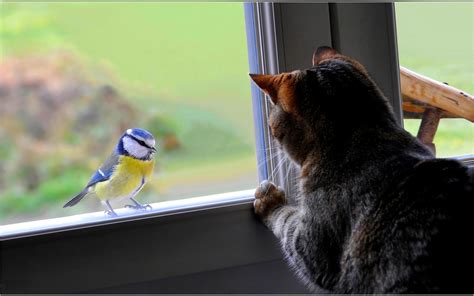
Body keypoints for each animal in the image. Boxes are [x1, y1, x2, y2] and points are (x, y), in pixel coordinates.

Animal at [250, 46, 472, 294]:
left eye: (271, 125)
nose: (271, 136)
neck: (365, 134)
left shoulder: (311, 248)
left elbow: (285, 219)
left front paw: (270, 200)